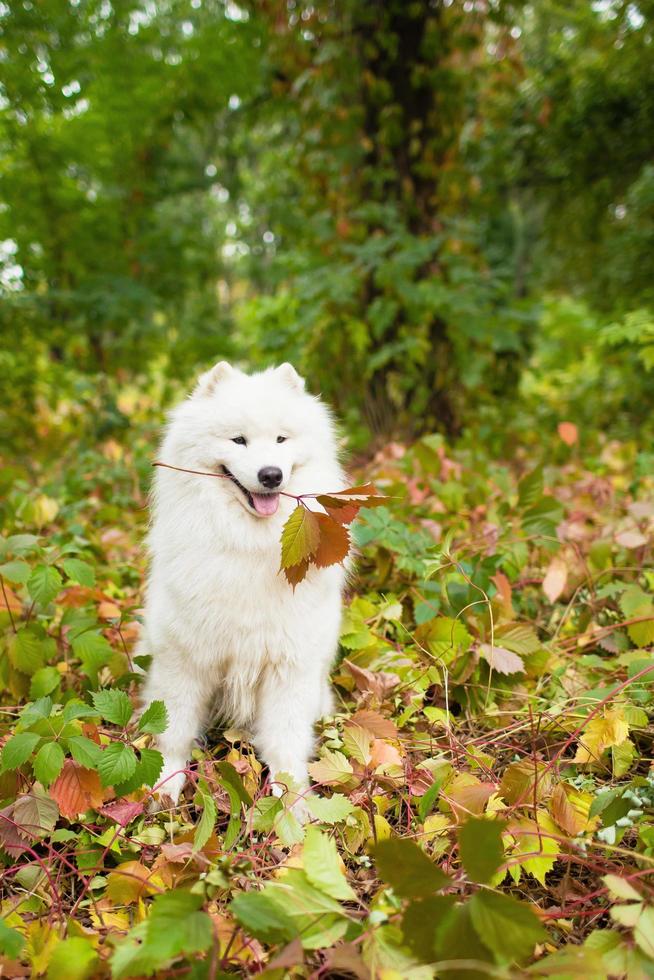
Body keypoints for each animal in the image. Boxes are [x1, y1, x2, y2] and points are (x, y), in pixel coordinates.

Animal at [140, 364, 348, 808]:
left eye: (282, 439)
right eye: (238, 439)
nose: (271, 474)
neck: (249, 543)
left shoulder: (289, 665)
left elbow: (286, 743)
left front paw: (292, 806)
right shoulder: (186, 658)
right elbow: (174, 730)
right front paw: (165, 787)